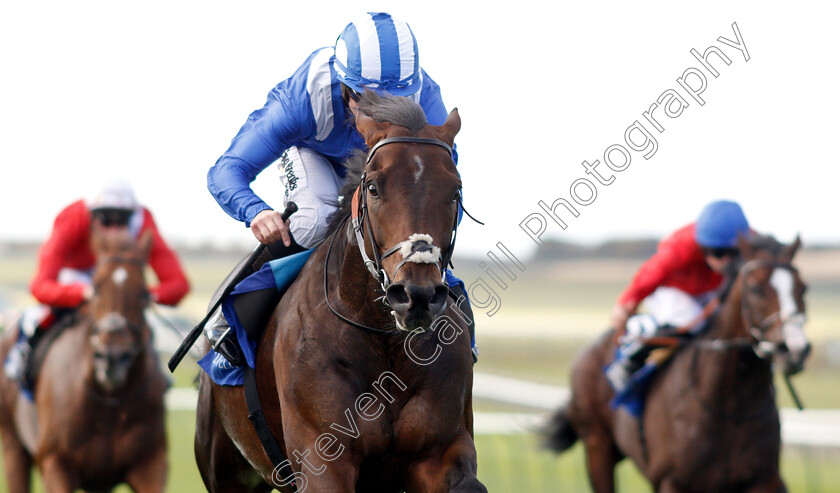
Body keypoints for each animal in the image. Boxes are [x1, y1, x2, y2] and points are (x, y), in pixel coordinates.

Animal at [0, 228, 169, 492]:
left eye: (143, 293)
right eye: (96, 288)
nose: (112, 358)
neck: (109, 399)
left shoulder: (151, 464)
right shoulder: (55, 463)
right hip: (13, 446)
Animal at [195, 90, 486, 490]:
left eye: (455, 190)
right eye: (374, 187)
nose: (418, 296)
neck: (385, 343)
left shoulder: (442, 450)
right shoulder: (323, 458)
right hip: (224, 467)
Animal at [548, 235, 812, 492]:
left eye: (804, 288)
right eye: (755, 288)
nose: (794, 349)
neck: (730, 405)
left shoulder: (764, 478)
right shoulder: (673, 481)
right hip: (597, 447)